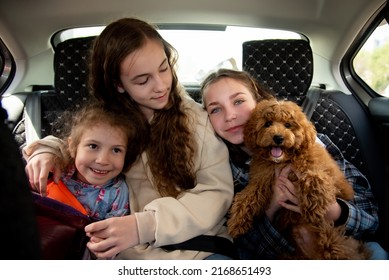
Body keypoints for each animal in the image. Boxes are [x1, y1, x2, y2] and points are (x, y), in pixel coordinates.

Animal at [227, 98, 370, 260]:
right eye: (267, 123)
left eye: (288, 125)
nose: (278, 138)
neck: (285, 160)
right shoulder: (262, 178)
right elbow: (248, 196)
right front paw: (237, 222)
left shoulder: (326, 174)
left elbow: (314, 177)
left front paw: (312, 206)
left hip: (333, 242)